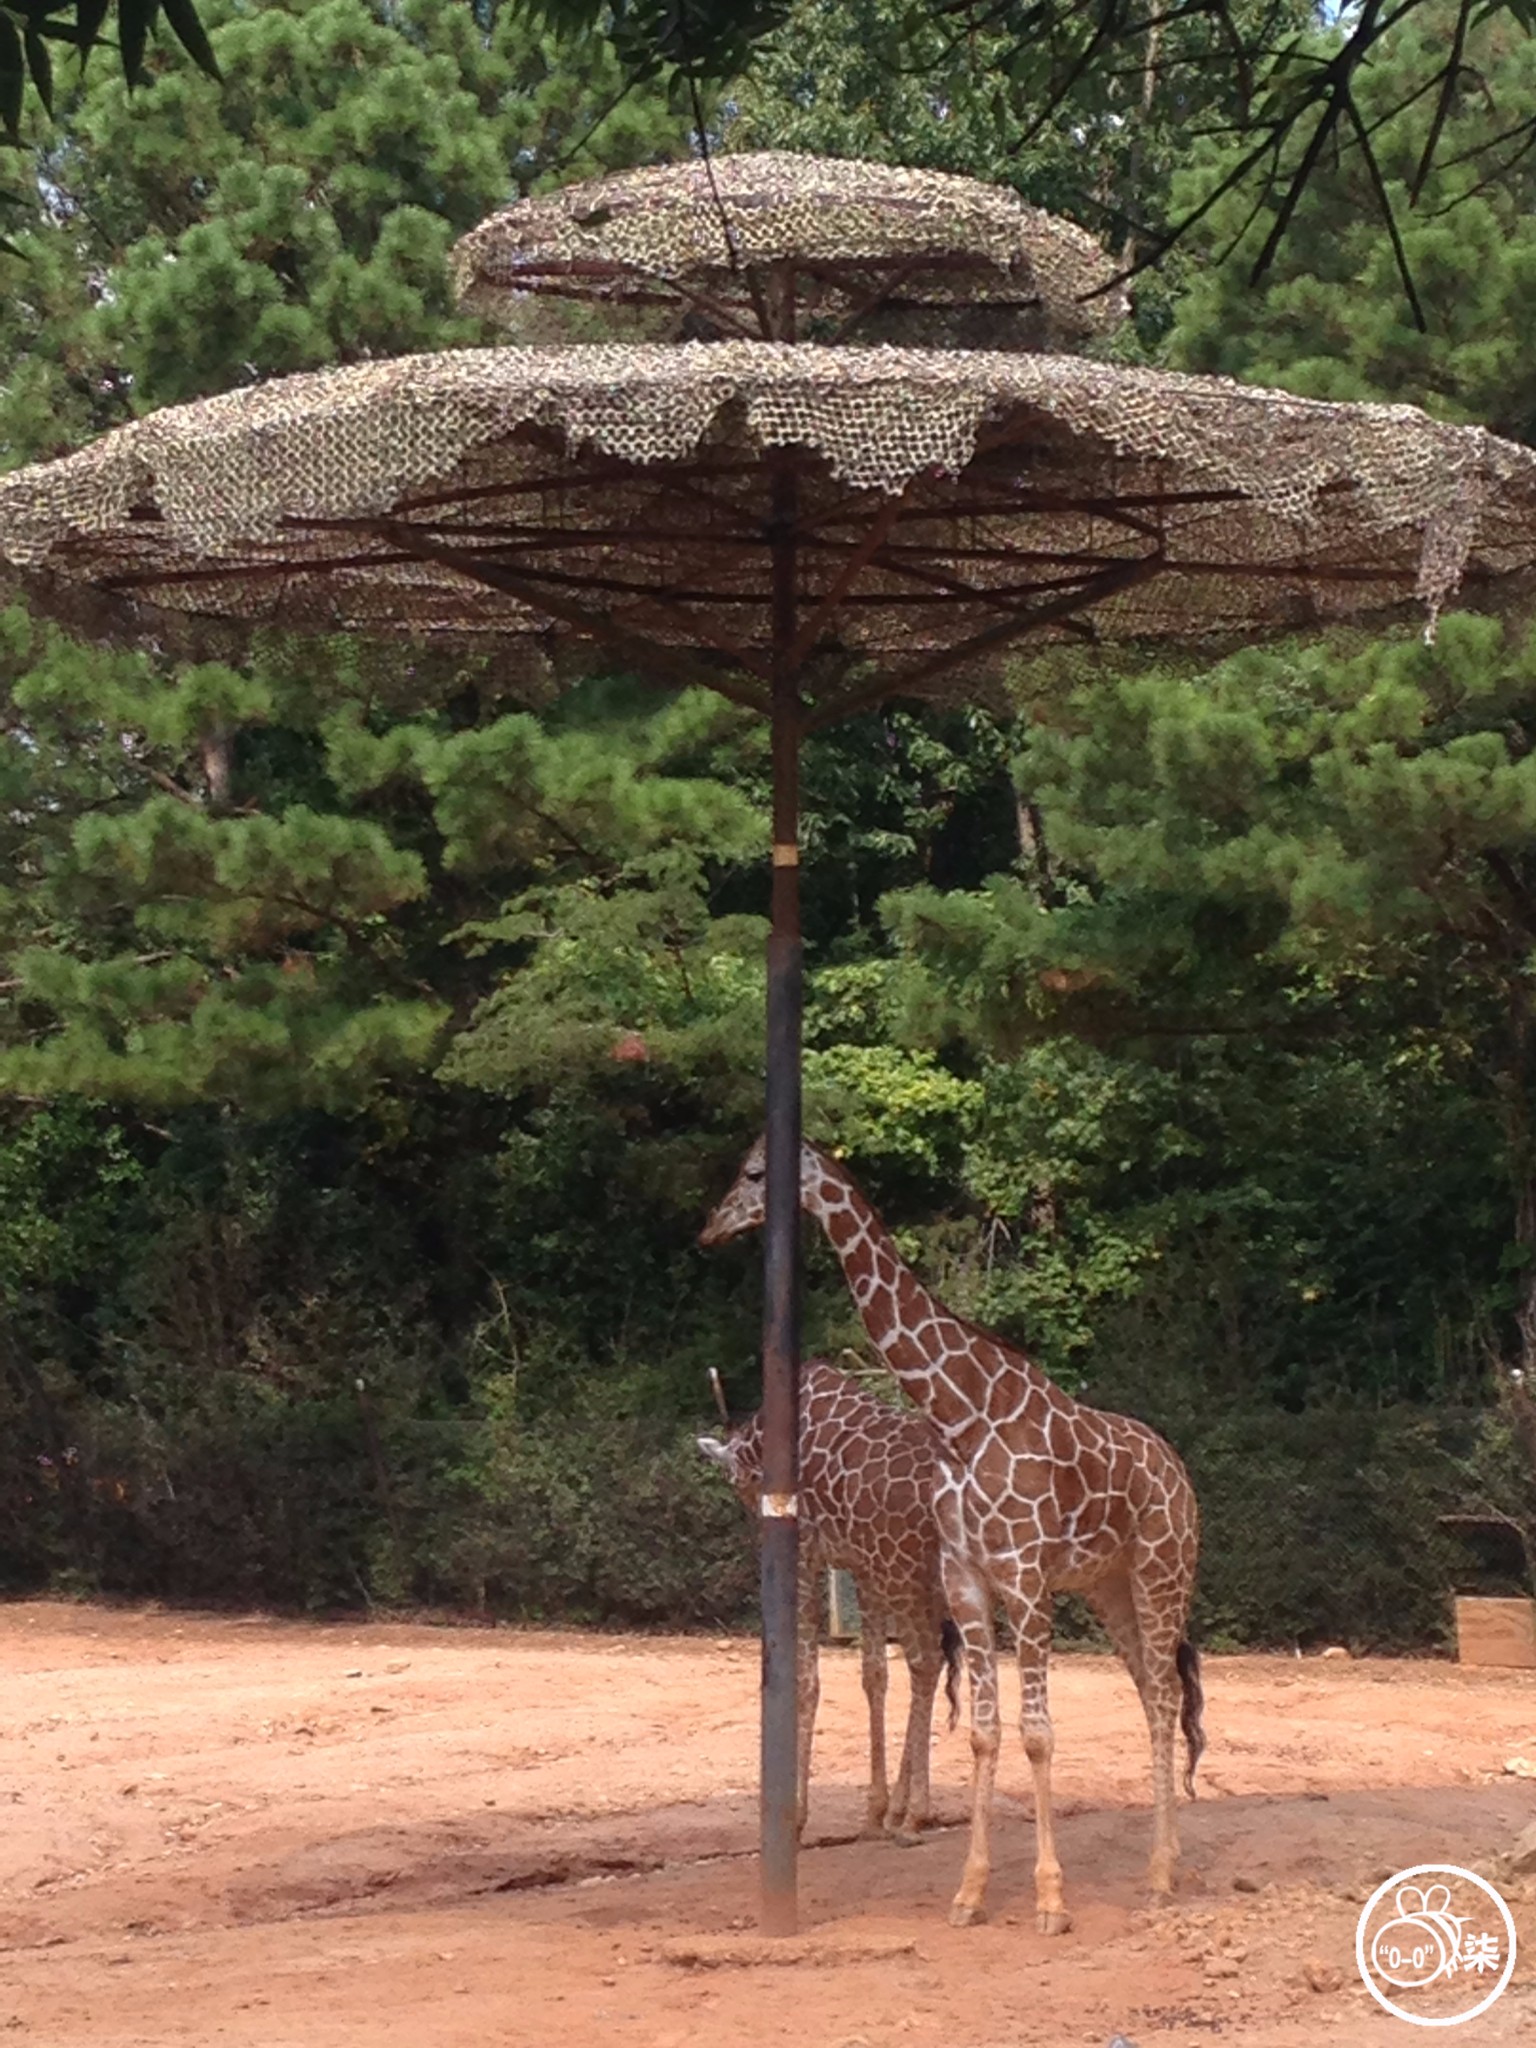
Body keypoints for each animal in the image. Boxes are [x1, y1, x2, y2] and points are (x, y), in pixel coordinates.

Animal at [700, 1359, 962, 1843]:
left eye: (737, 1479)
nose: (758, 1518)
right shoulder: (862, 1567)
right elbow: (875, 1676)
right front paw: (876, 1810)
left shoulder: (808, 1555)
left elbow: (805, 1679)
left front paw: (797, 1816)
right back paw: (906, 1811)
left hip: (908, 1573)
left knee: (926, 1662)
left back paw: (917, 1812)